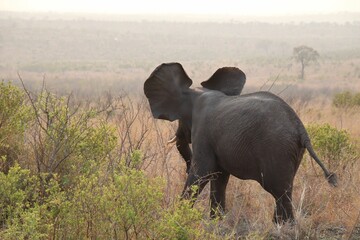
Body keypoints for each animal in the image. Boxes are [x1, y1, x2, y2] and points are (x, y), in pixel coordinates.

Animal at [144, 62, 338, 223]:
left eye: (181, 121)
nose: (186, 166)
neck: (196, 93)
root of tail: (300, 128)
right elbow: (219, 177)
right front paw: (216, 222)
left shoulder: (203, 130)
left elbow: (203, 171)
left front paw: (178, 216)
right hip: (292, 151)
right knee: (284, 189)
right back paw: (279, 224)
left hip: (277, 149)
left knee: (279, 191)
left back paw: (285, 226)